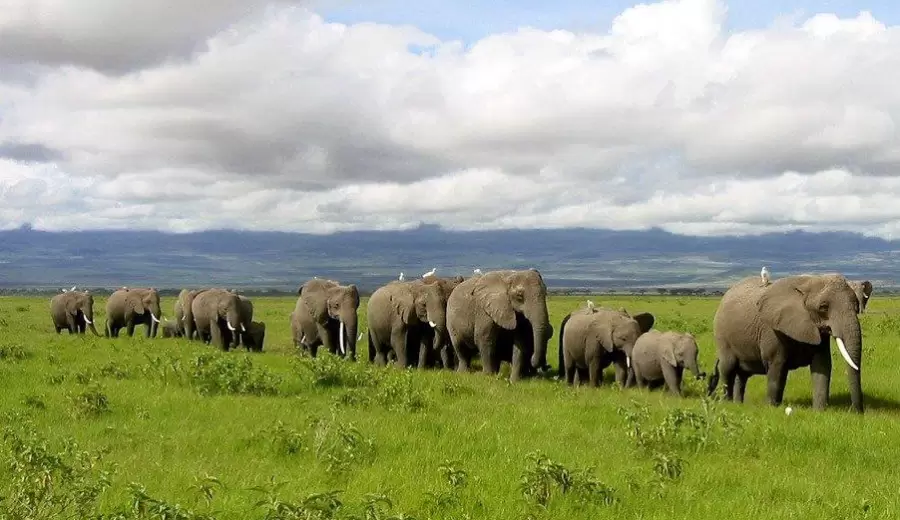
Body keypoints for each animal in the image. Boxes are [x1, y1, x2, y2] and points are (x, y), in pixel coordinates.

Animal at [712, 274, 864, 412]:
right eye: (823, 307)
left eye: (857, 306)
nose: (856, 412)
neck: (808, 281)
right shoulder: (772, 330)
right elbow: (778, 367)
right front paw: (772, 409)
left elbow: (822, 365)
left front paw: (819, 412)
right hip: (722, 334)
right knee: (728, 368)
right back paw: (727, 404)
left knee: (742, 374)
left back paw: (738, 405)